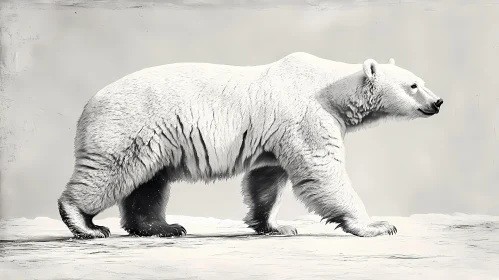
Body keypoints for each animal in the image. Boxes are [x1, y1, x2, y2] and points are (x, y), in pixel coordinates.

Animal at [56, 52, 444, 238]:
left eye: (421, 81)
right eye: (413, 85)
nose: (438, 101)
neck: (330, 88)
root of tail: (90, 103)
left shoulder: (276, 133)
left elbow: (267, 178)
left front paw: (275, 226)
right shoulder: (306, 113)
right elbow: (322, 169)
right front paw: (377, 226)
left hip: (154, 139)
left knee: (149, 183)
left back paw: (164, 227)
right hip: (131, 125)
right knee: (109, 172)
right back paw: (86, 225)